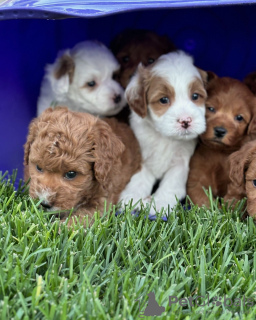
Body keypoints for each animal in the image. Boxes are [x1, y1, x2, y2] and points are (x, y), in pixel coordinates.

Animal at [120, 50, 208, 218]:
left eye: (195, 96)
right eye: (164, 100)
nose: (186, 120)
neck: (164, 137)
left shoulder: (181, 163)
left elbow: (170, 185)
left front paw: (159, 205)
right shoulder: (143, 156)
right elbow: (138, 179)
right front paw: (130, 199)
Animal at [186, 73, 256, 208]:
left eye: (239, 117)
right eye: (211, 109)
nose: (220, 131)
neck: (219, 152)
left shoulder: (236, 182)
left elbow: (234, 200)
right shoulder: (196, 180)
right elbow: (203, 201)